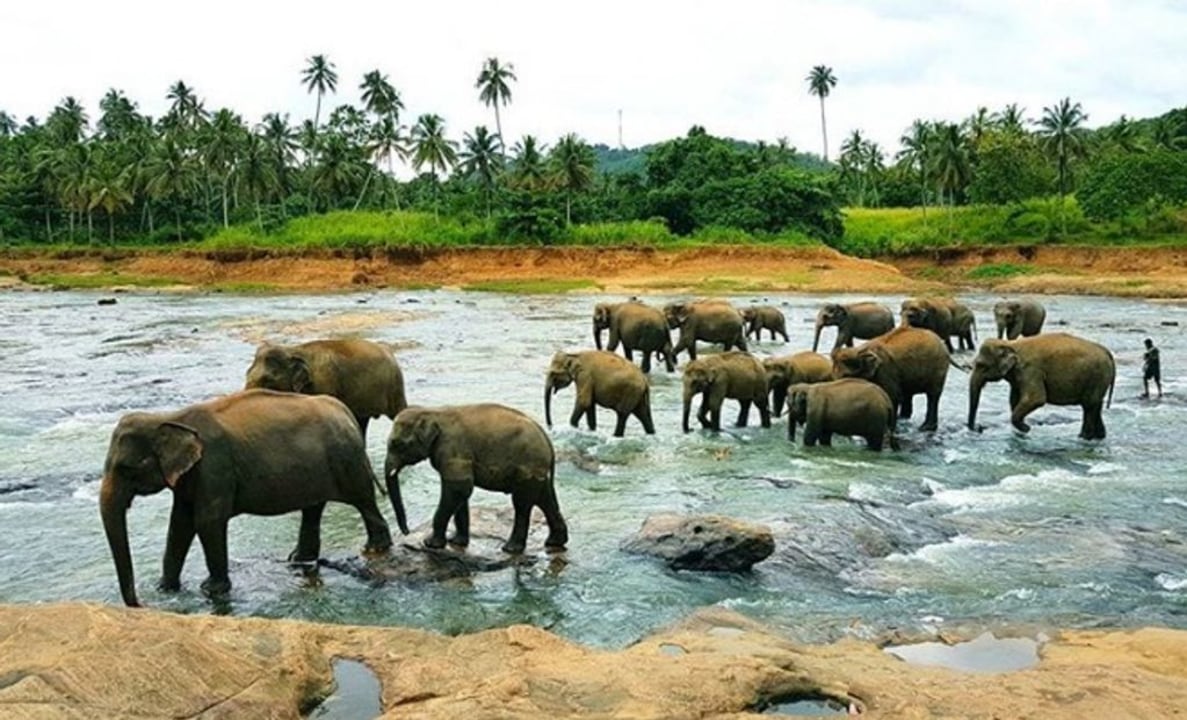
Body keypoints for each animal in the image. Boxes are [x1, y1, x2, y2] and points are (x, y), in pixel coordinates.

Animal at [99, 389, 394, 608]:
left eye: (126, 468)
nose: (140, 604)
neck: (170, 418)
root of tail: (345, 410)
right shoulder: (189, 476)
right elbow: (180, 523)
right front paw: (165, 589)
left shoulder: (214, 466)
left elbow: (207, 521)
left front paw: (212, 590)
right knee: (313, 508)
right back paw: (298, 560)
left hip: (347, 461)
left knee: (363, 500)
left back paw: (375, 549)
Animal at [244, 338, 407, 439]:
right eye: (247, 373)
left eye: (267, 380)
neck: (294, 351)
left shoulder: (325, 382)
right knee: (361, 420)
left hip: (395, 385)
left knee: (399, 412)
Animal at [384, 404, 568, 554]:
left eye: (396, 444)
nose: (406, 532)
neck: (433, 412)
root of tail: (548, 441)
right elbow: (461, 492)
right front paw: (456, 542)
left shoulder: (453, 449)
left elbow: (459, 489)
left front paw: (430, 544)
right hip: (535, 469)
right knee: (543, 498)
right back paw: (555, 543)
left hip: (529, 464)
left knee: (522, 503)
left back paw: (510, 549)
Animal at [967, 334, 1116, 440]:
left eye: (981, 365)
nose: (979, 428)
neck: (1010, 344)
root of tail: (1107, 352)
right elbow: (1014, 400)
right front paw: (1023, 429)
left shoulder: (1030, 370)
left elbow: (1036, 399)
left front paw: (1026, 429)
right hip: (1099, 380)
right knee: (1094, 406)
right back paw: (1098, 437)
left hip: (1097, 377)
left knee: (1089, 406)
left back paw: (1083, 438)